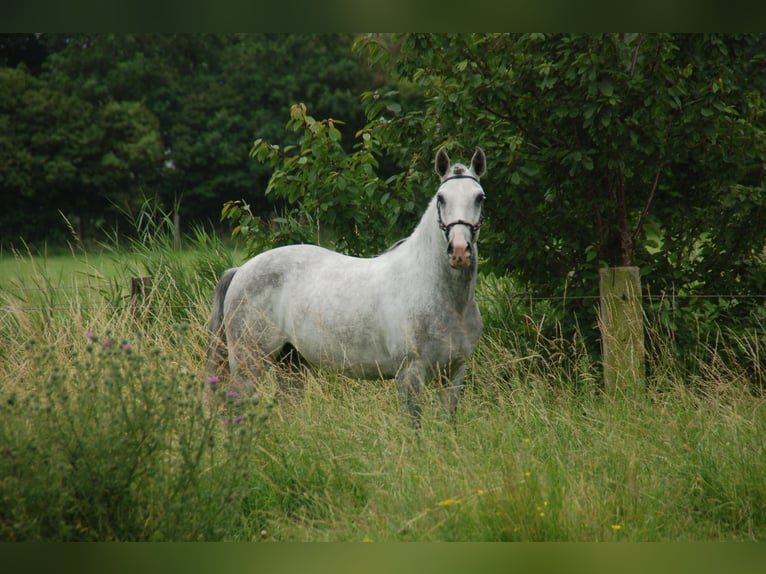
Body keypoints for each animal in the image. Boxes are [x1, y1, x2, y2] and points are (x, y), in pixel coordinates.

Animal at [207, 147, 488, 428]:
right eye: (441, 198)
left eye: (479, 197)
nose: (459, 252)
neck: (446, 300)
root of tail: (241, 270)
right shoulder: (411, 373)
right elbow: (414, 424)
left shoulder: (455, 372)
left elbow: (448, 422)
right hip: (249, 362)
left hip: (291, 362)